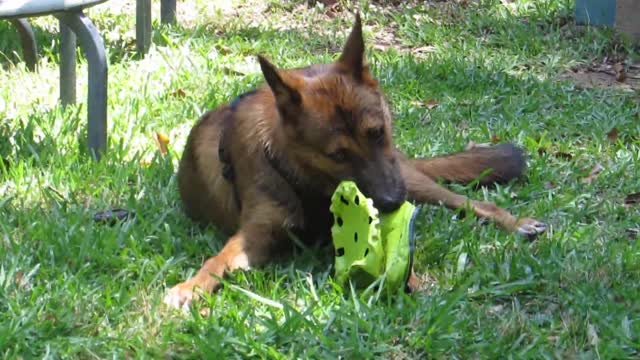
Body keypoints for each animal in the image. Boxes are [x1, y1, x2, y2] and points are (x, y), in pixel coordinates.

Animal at [164, 12, 544, 308]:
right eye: (338, 155)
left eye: (377, 133)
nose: (392, 202)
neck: (301, 174)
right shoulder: (255, 236)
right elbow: (219, 260)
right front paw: (193, 286)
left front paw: (411, 278)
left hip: (415, 182)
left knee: (472, 203)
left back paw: (515, 222)